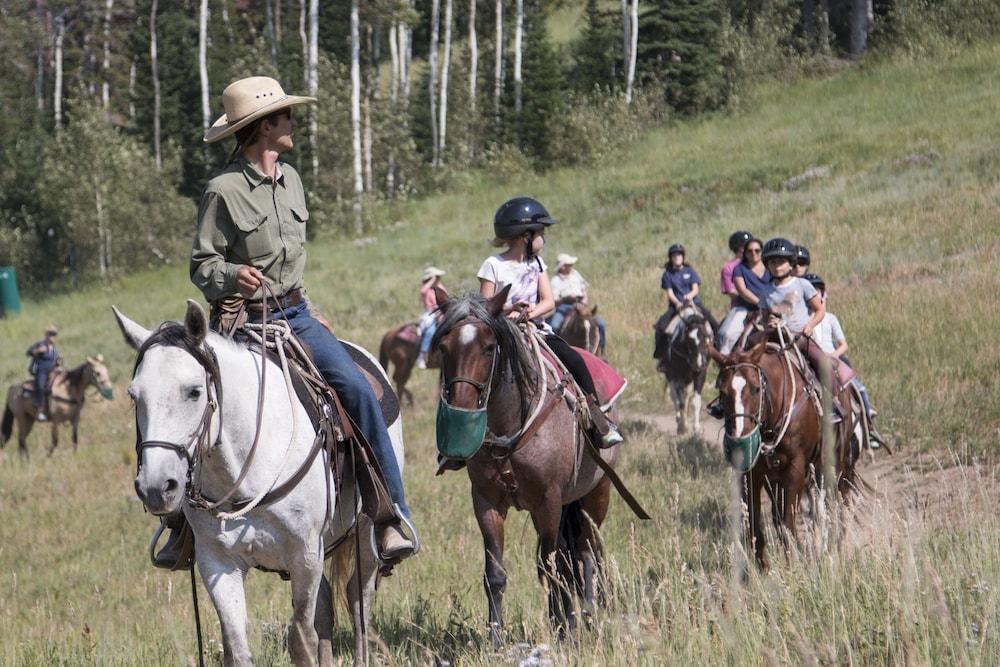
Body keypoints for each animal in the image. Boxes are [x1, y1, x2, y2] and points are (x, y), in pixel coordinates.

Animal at [113, 304, 398, 667]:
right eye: (134, 396)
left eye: (194, 391)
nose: (156, 487)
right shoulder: (218, 562)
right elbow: (238, 647)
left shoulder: (305, 554)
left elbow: (301, 639)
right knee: (327, 610)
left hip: (365, 534)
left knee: (358, 602)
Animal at [430, 288, 624, 640]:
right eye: (443, 346)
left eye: (488, 347)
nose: (462, 407)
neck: (509, 425)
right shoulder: (487, 501)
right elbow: (496, 572)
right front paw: (495, 636)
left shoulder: (548, 501)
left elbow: (551, 567)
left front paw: (563, 629)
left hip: (596, 493)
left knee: (586, 551)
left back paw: (588, 614)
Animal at [704, 336, 860, 572]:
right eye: (723, 392)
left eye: (756, 388)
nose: (740, 441)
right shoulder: (752, 475)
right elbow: (755, 524)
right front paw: (764, 568)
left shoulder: (794, 471)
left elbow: (788, 522)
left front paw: (793, 564)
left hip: (832, 465)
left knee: (828, 507)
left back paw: (830, 548)